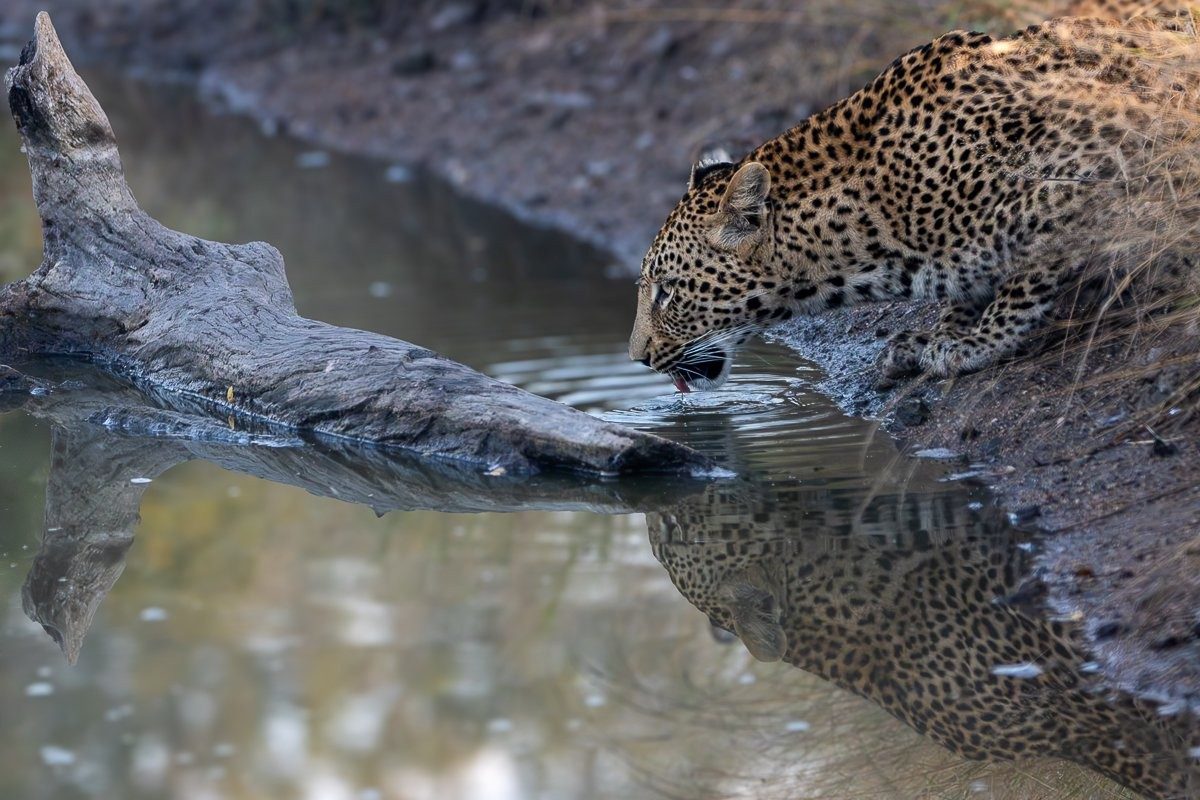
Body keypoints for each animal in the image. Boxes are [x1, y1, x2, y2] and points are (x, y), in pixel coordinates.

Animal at [628, 2, 1200, 392]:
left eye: (667, 293)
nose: (637, 358)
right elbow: (966, 292)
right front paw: (932, 337)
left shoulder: (1091, 162)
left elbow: (1026, 277)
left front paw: (976, 343)